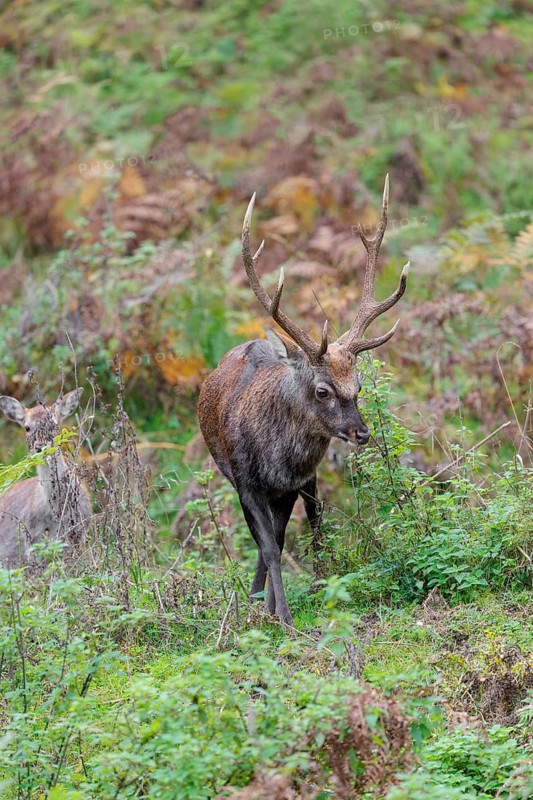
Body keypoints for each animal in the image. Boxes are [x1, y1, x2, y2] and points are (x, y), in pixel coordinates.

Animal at [198, 176, 409, 624]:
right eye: (322, 390)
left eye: (359, 387)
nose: (362, 433)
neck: (277, 457)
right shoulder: (247, 482)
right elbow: (270, 546)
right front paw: (284, 615)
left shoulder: (294, 484)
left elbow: (289, 536)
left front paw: (284, 605)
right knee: (266, 541)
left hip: (303, 483)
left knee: (300, 527)